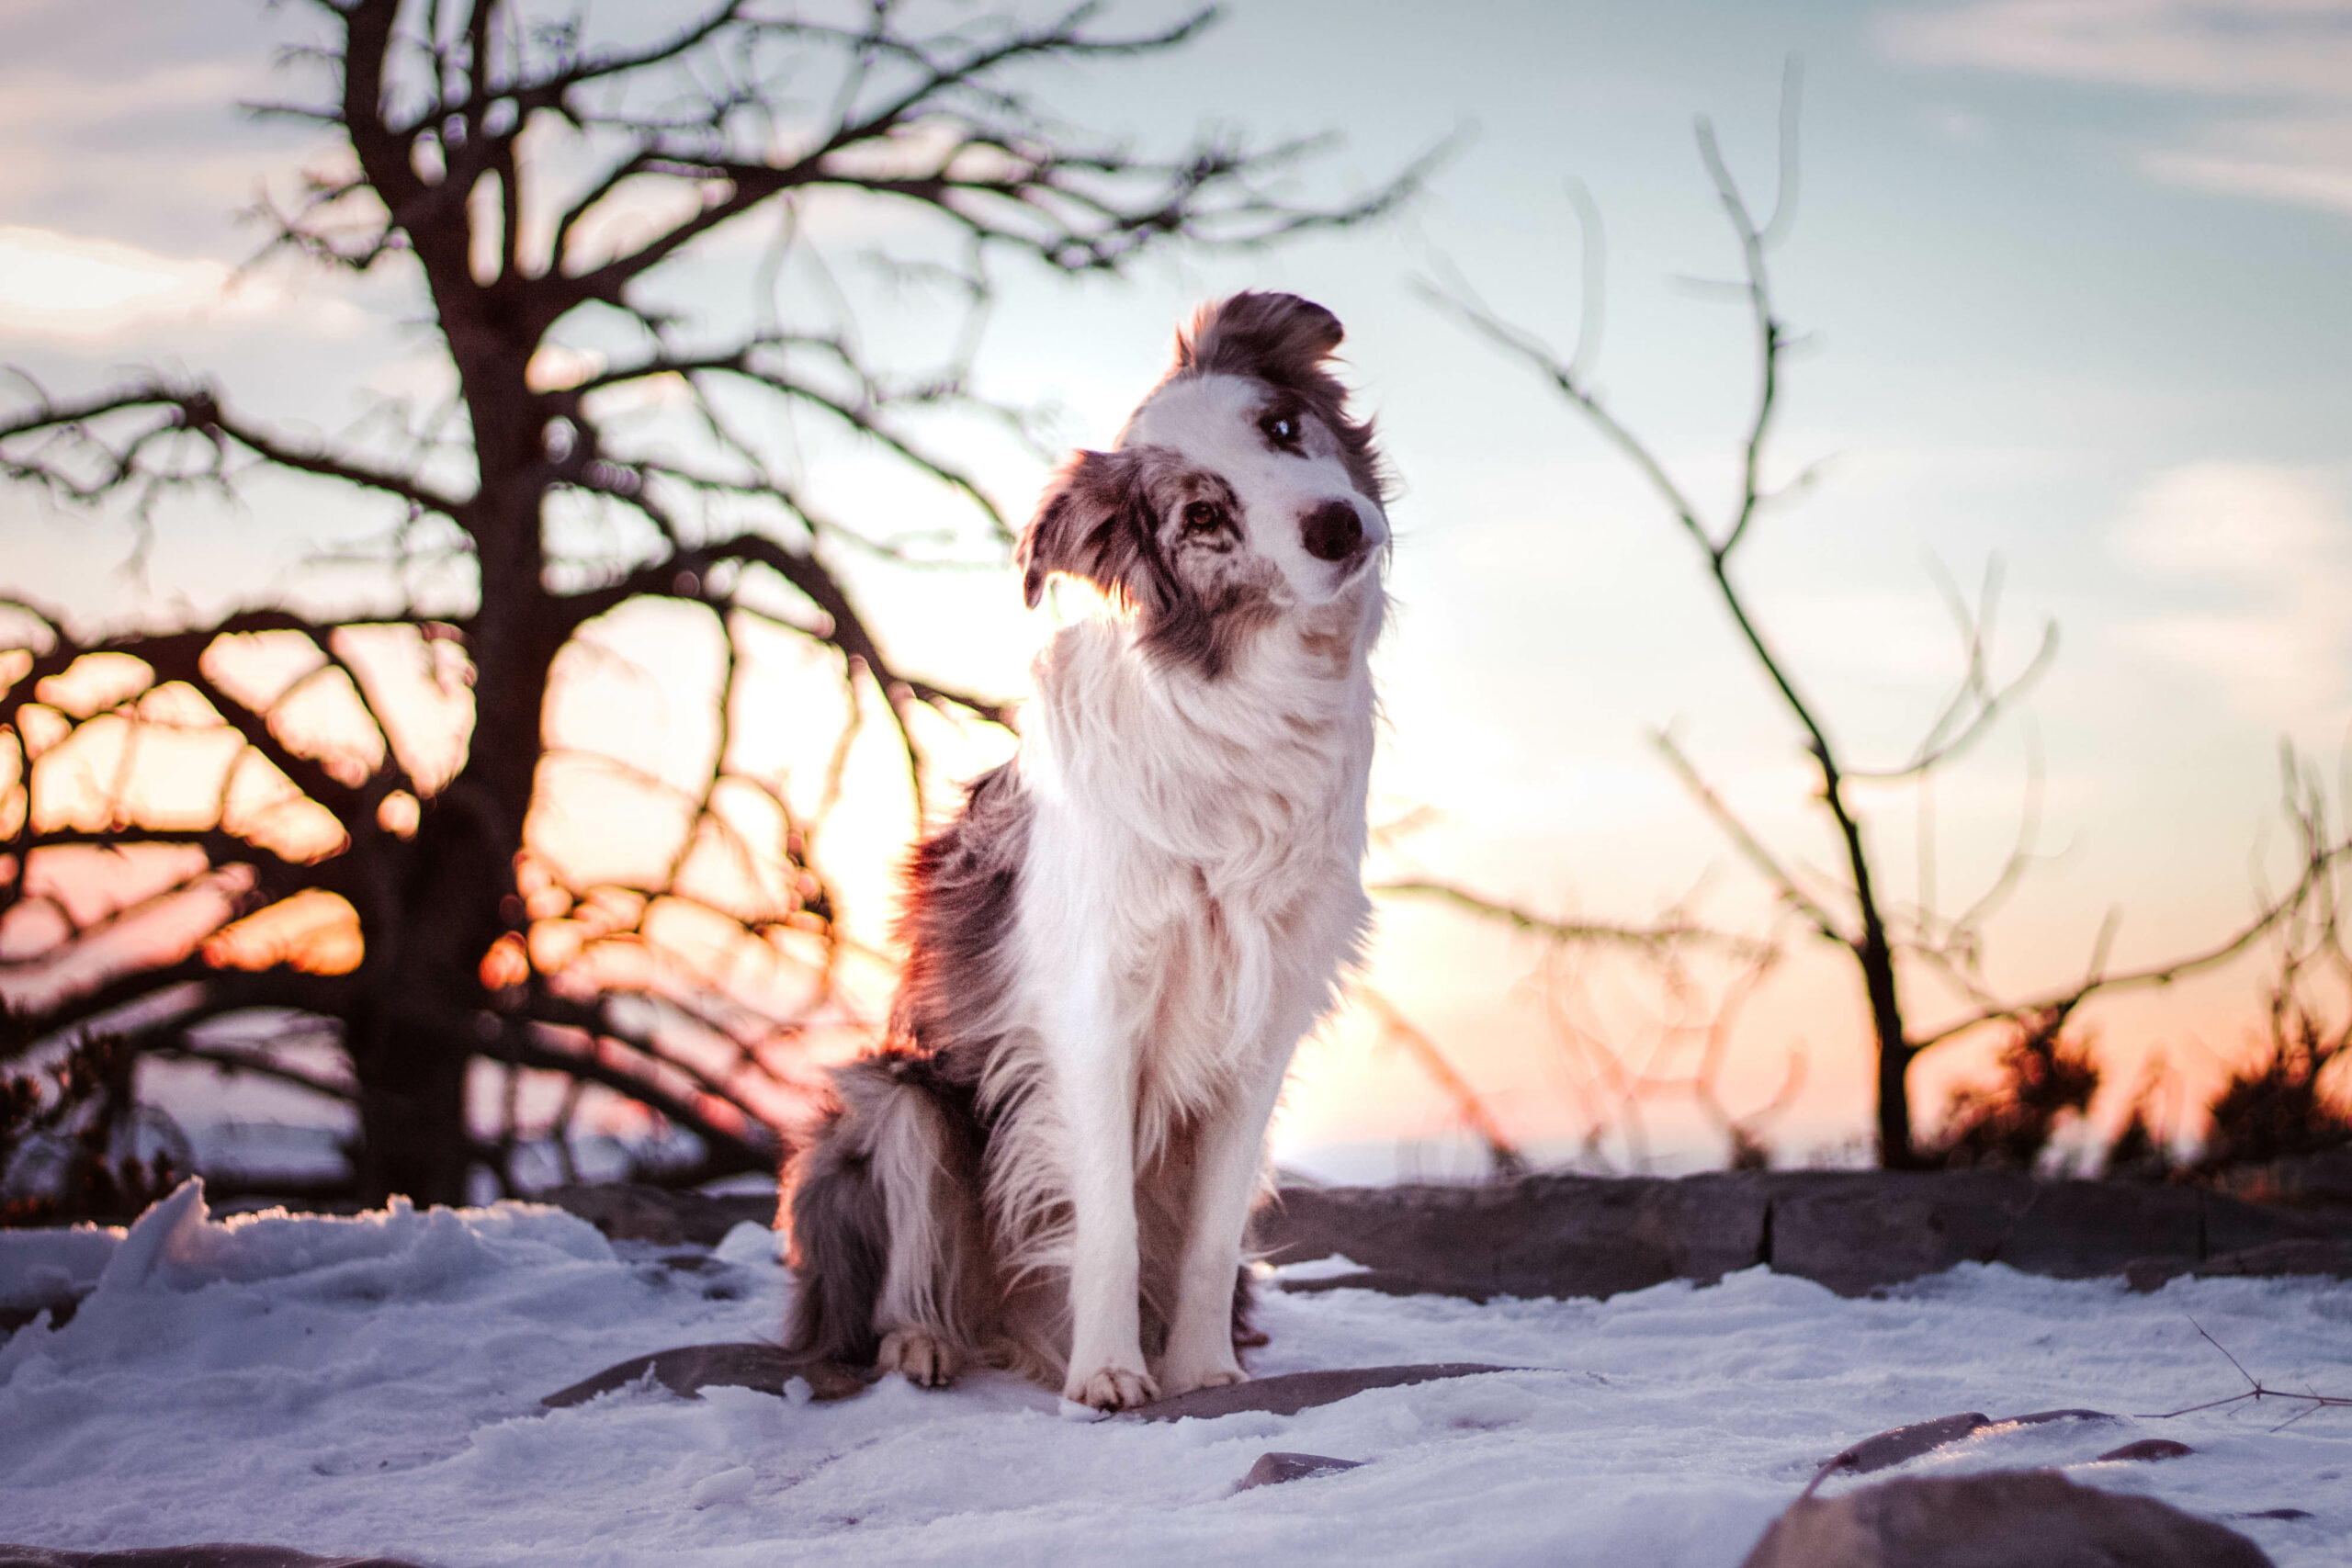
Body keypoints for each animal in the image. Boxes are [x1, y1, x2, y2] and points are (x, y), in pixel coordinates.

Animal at [780, 291, 1383, 1410]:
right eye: (1203, 517)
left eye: (1282, 427)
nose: (1337, 525)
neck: (1246, 713)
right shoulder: (1093, 1010)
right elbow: (1104, 1217)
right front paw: (1108, 1371)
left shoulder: (1263, 1021)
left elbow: (1206, 1238)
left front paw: (1202, 1370)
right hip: (896, 1099)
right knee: (901, 1277)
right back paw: (923, 1345)